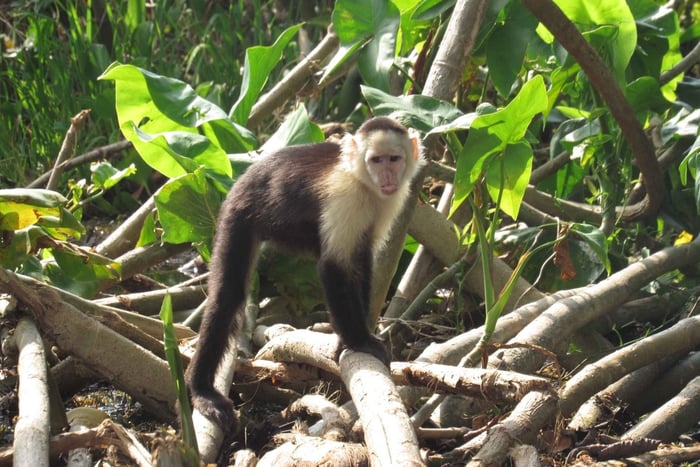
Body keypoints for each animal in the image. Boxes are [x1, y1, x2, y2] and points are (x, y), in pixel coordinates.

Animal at [185, 116, 426, 432]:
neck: (364, 184)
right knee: (228, 296)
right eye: (376, 160)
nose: (386, 176)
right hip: (237, 214)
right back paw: (201, 390)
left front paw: (350, 337)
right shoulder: (346, 196)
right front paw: (359, 340)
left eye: (393, 159)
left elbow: (361, 261)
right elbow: (333, 266)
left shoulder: (389, 202)